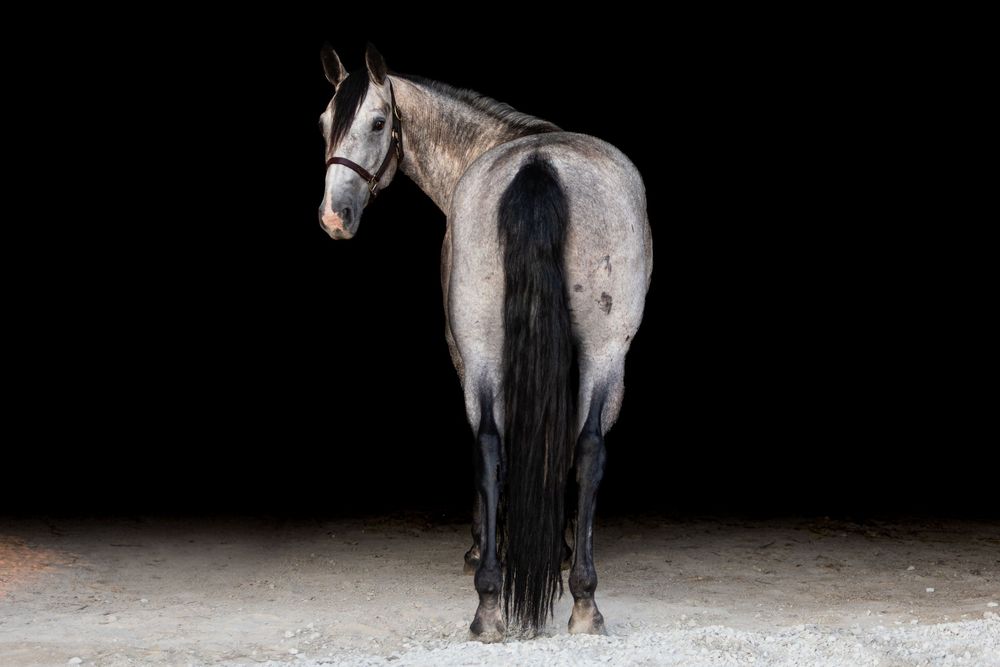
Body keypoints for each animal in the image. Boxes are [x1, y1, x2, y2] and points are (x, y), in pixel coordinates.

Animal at [317, 43, 652, 640]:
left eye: (378, 123)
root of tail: (538, 163)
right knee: (566, 446)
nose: (335, 217)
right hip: (596, 353)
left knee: (510, 444)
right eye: (324, 123)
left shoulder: (463, 352)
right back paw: (553, 601)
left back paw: (518, 599)